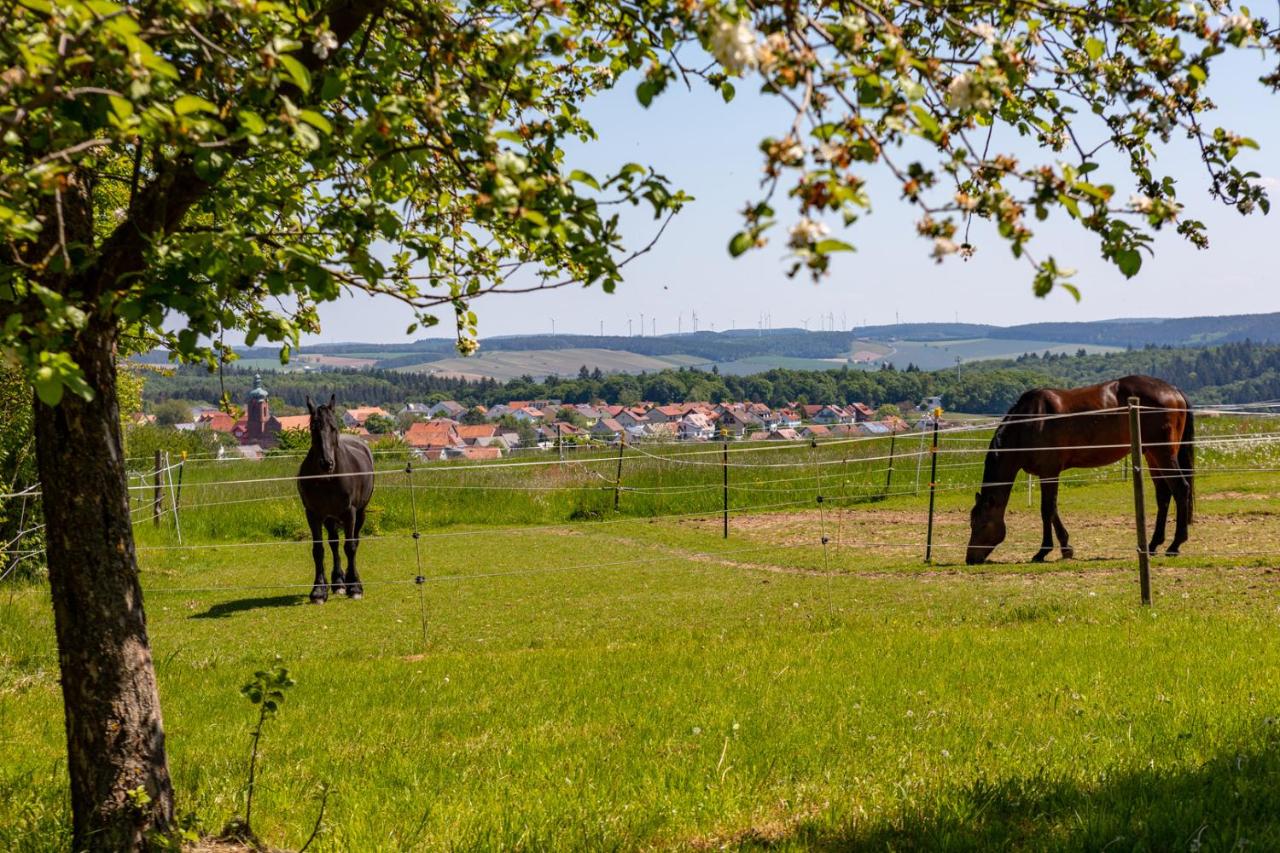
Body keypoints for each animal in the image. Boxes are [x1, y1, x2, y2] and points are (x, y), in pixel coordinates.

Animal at [298, 394, 373, 601]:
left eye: (333, 427)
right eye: (313, 427)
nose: (327, 463)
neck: (328, 479)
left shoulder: (350, 513)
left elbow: (350, 547)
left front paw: (354, 587)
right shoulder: (313, 514)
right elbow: (318, 550)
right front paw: (318, 590)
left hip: (360, 513)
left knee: (354, 541)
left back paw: (350, 581)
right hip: (330, 517)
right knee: (333, 543)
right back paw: (338, 582)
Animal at [962, 373, 1192, 560]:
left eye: (980, 523)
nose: (970, 558)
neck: (1030, 421)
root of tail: (1174, 390)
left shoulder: (1049, 472)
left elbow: (1046, 510)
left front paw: (1043, 551)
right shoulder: (1047, 474)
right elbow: (1053, 509)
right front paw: (1066, 547)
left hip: (1163, 453)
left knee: (1181, 489)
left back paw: (1174, 545)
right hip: (1152, 456)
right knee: (1164, 495)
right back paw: (1153, 545)